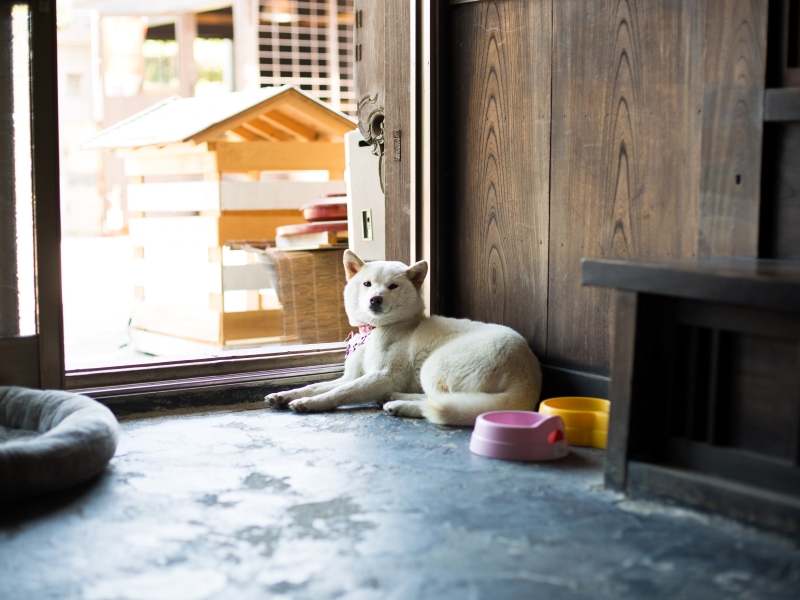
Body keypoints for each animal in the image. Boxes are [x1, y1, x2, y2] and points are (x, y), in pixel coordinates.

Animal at [266, 250, 540, 426]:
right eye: (367, 284)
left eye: (392, 287)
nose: (375, 299)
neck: (375, 331)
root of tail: (528, 373)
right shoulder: (354, 376)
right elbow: (318, 385)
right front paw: (286, 394)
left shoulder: (383, 376)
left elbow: (341, 392)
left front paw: (311, 402)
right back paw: (395, 398)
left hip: (433, 366)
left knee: (440, 402)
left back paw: (399, 405)